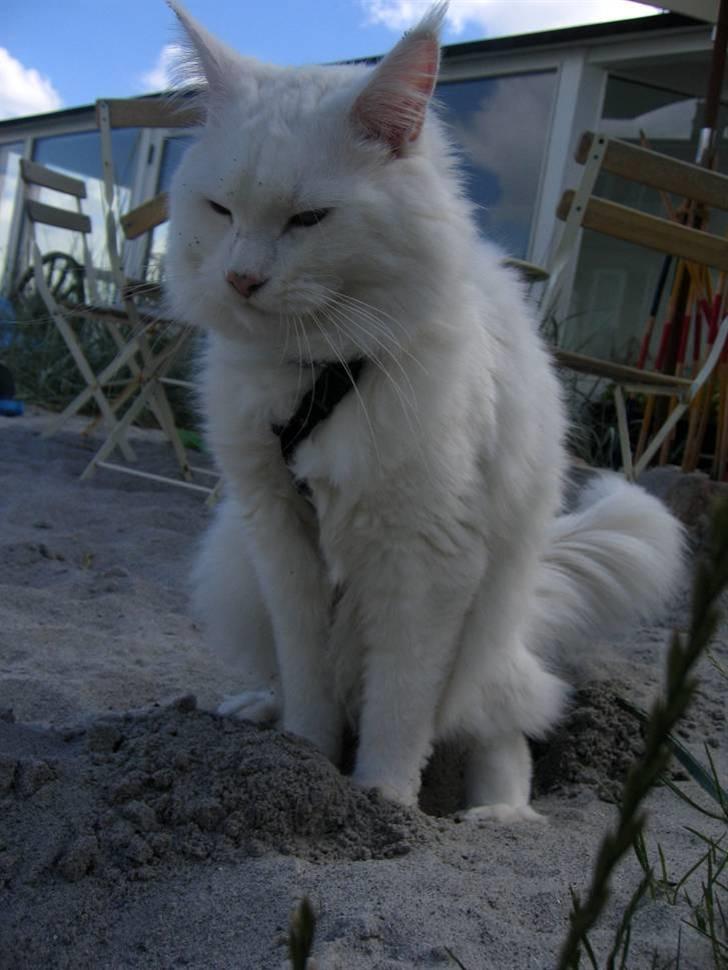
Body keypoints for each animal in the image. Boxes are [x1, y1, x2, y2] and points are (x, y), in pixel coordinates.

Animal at [165, 1, 684, 816]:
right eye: (221, 210)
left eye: (309, 220)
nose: (242, 279)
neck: (323, 372)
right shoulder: (279, 534)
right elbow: (308, 677)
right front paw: (302, 765)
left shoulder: (426, 557)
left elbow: (400, 706)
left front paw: (382, 800)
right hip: (234, 569)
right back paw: (256, 712)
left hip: (487, 646)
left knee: (507, 729)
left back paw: (496, 815)